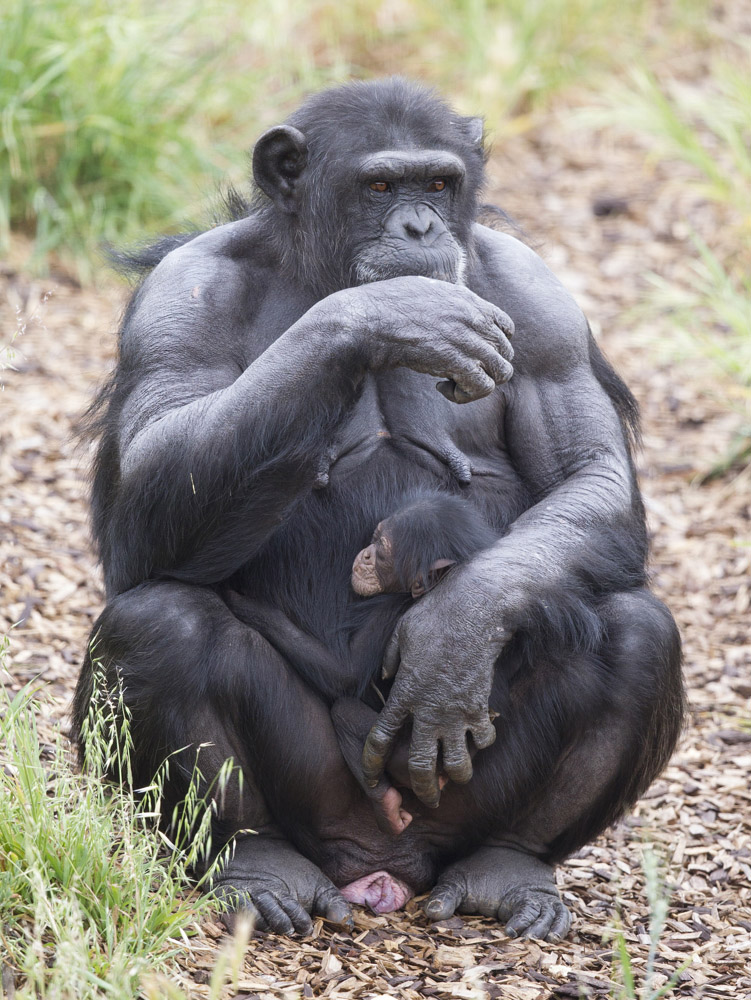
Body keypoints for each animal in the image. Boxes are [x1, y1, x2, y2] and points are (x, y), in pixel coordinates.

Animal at [73, 76, 684, 936]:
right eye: (379, 187)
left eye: (438, 182)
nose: (419, 225)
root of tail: (384, 869)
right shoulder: (180, 299)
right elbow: (145, 499)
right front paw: (387, 316)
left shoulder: (542, 302)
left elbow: (587, 472)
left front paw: (452, 636)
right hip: (320, 795)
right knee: (161, 623)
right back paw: (259, 864)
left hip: (453, 809)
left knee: (637, 632)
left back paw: (507, 866)